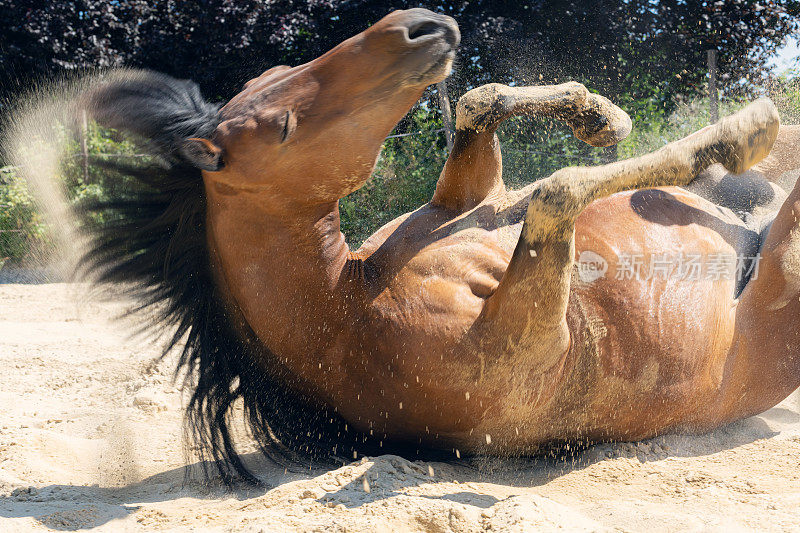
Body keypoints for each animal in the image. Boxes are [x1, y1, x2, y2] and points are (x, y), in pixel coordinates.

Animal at [72, 8, 796, 482]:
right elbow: (557, 188)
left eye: (278, 66)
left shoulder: (469, 201)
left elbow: (480, 100)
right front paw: (737, 131)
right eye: (280, 128)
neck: (348, 307)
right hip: (782, 282)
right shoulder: (534, 337)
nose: (416, 25)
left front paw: (600, 117)